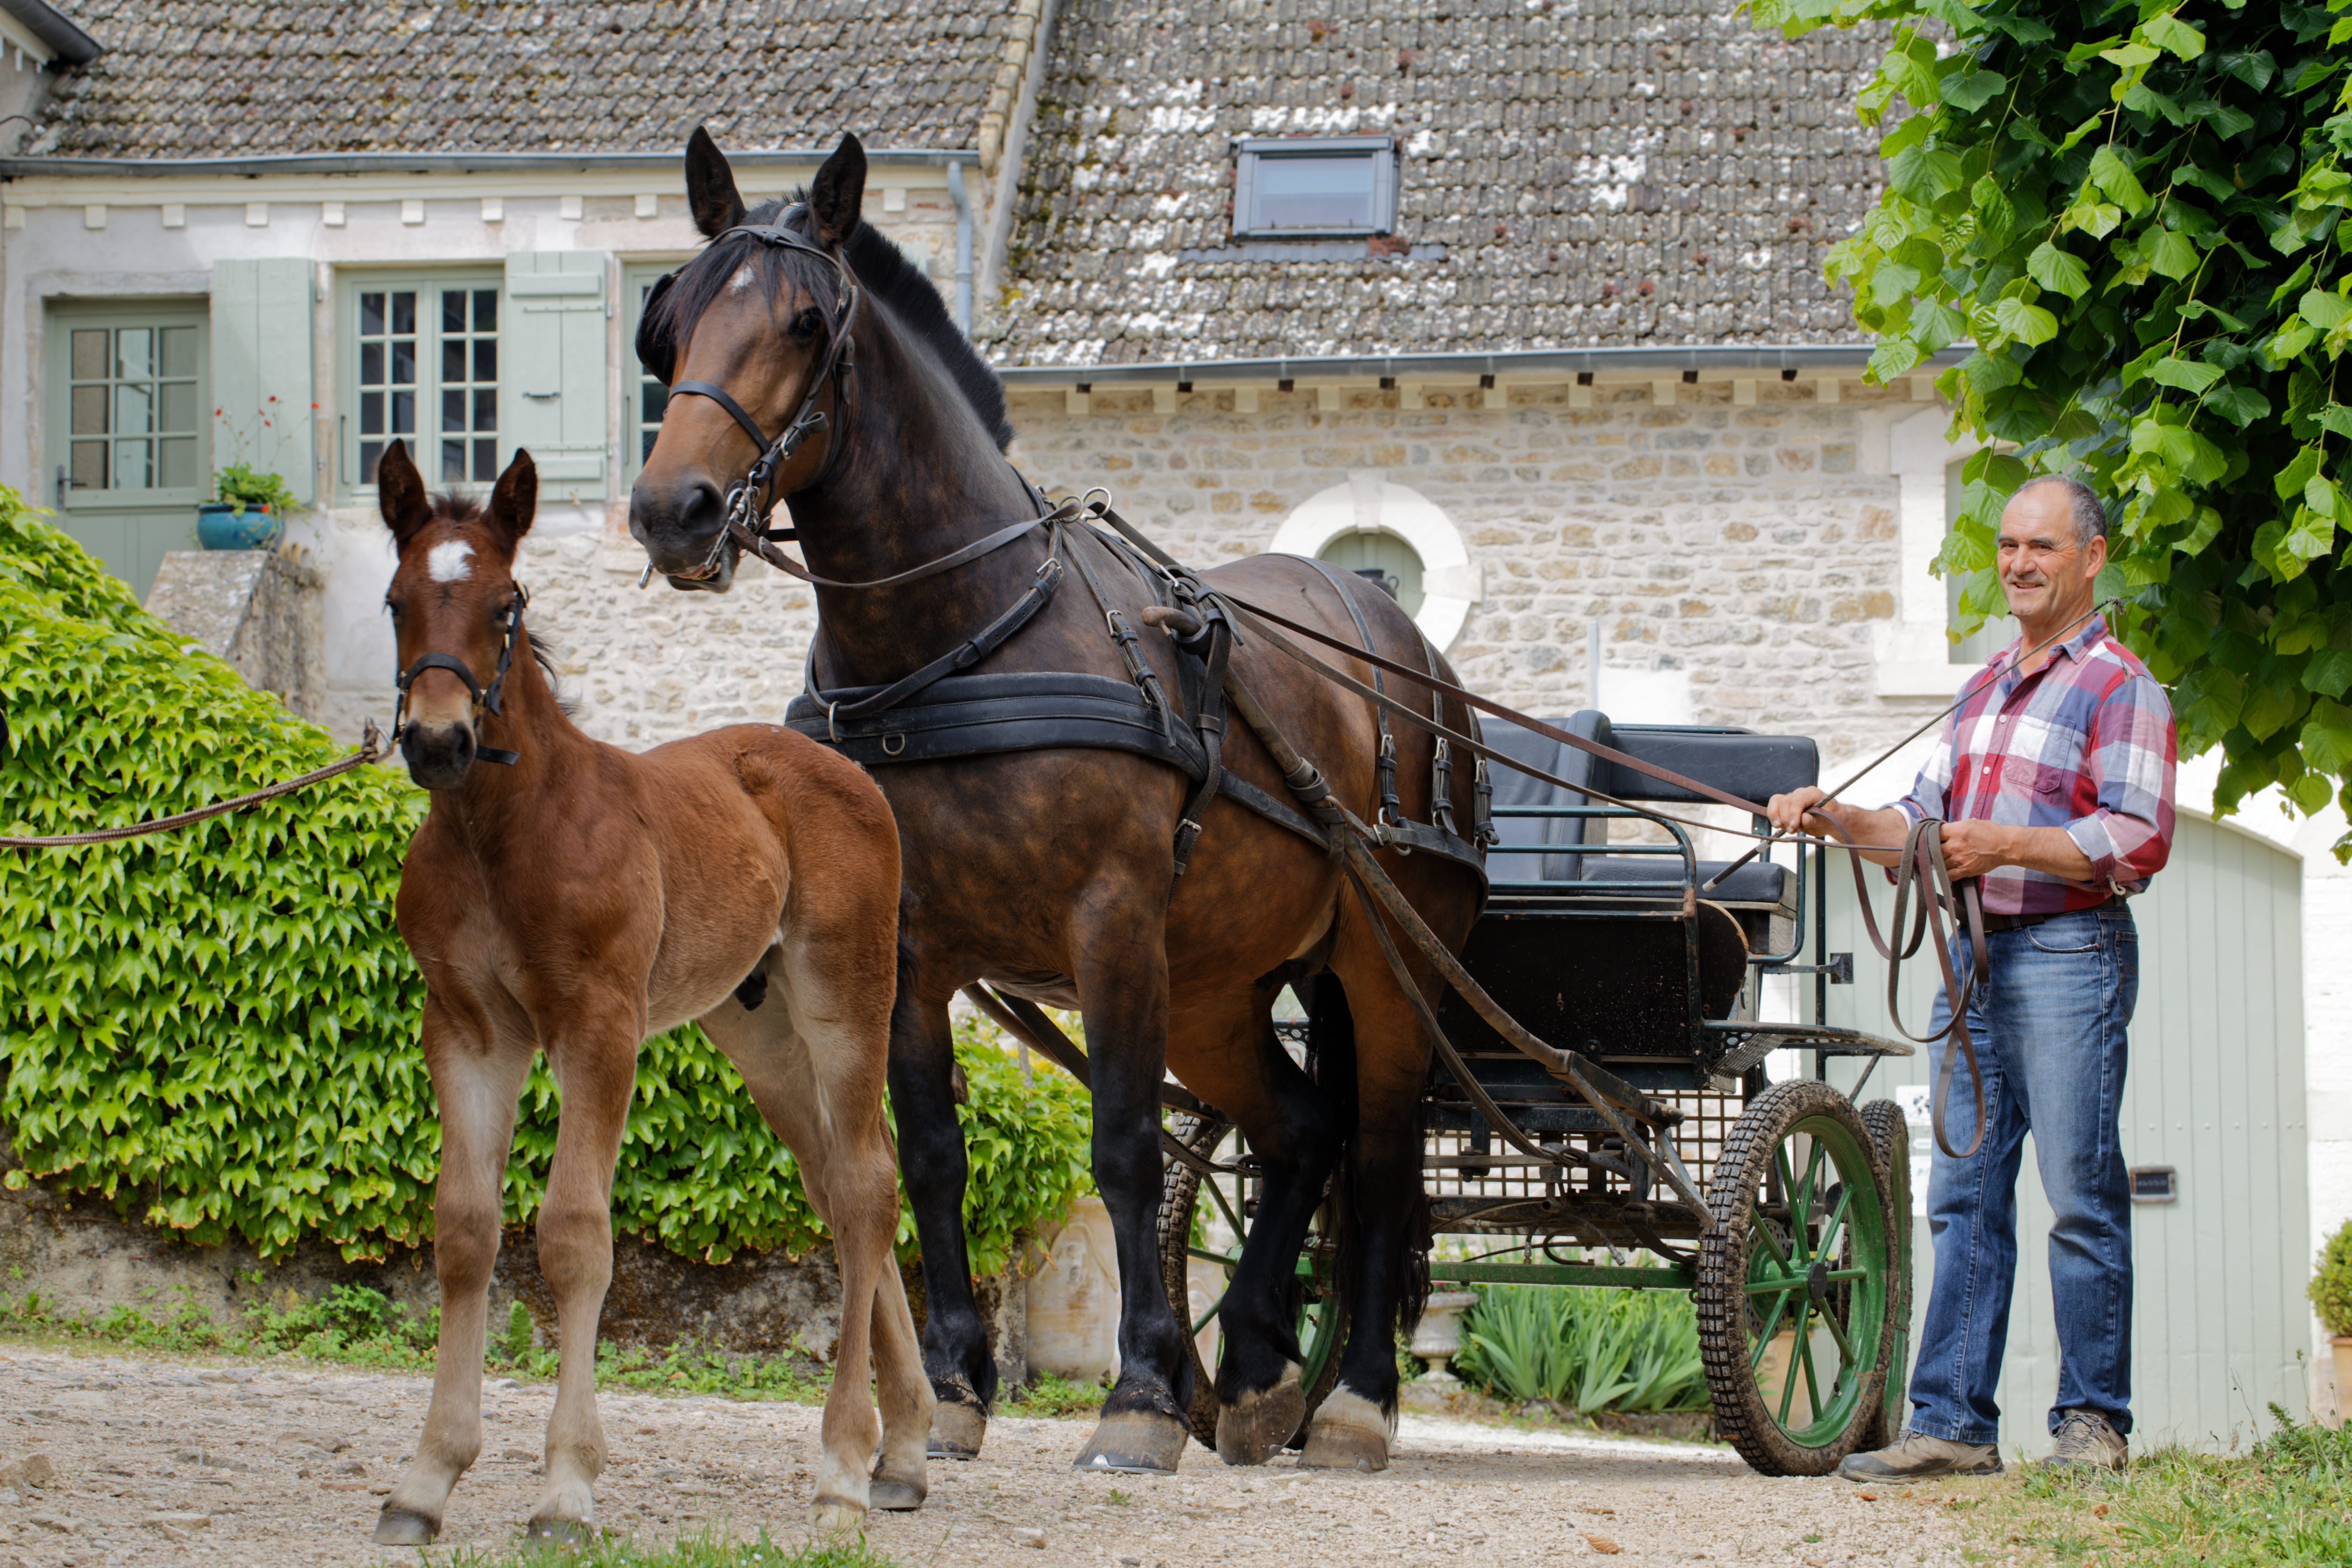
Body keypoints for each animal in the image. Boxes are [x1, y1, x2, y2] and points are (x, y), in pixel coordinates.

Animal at [368, 440, 930, 1543]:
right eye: (396, 601)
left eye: (505, 603)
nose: (439, 741)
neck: (504, 829)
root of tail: (840, 768)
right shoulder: (466, 1031)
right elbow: (464, 1231)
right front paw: (426, 1476)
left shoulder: (599, 1024)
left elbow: (575, 1235)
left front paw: (566, 1490)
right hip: (759, 1036)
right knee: (840, 1186)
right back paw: (902, 1447)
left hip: (846, 1001)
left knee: (866, 1188)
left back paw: (843, 1468)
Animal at [628, 129, 1487, 1477]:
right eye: (665, 329)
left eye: (809, 323)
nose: (676, 512)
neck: (960, 639)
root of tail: (1403, 650)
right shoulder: (911, 949)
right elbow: (930, 1159)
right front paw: (951, 1387)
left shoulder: (1113, 925)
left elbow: (1124, 1149)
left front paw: (1136, 1398)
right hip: (1218, 985)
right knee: (1302, 1131)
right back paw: (1255, 1367)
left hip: (1383, 970)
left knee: (1386, 1158)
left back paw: (1352, 1400)